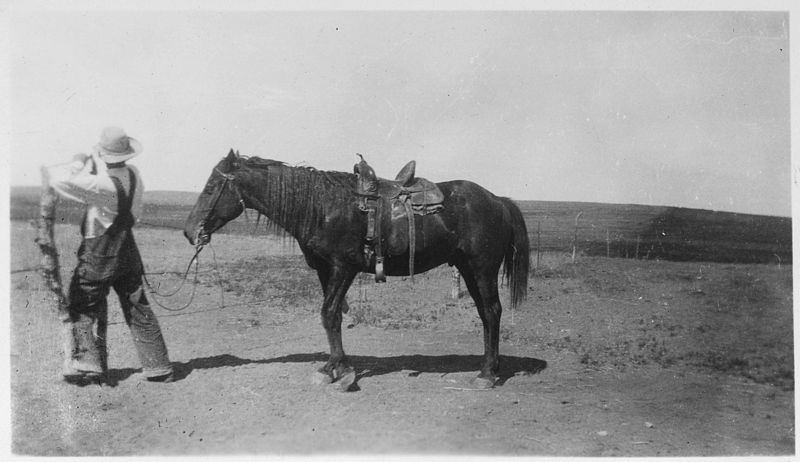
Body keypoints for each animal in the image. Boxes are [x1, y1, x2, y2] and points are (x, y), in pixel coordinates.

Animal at [184, 151, 528, 390]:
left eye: (212, 186)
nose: (190, 231)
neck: (323, 206)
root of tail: (498, 201)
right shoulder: (325, 270)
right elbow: (332, 316)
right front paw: (333, 368)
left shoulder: (343, 267)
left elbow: (329, 313)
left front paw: (344, 373)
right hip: (468, 269)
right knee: (485, 314)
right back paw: (489, 367)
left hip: (483, 269)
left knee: (492, 311)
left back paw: (487, 375)